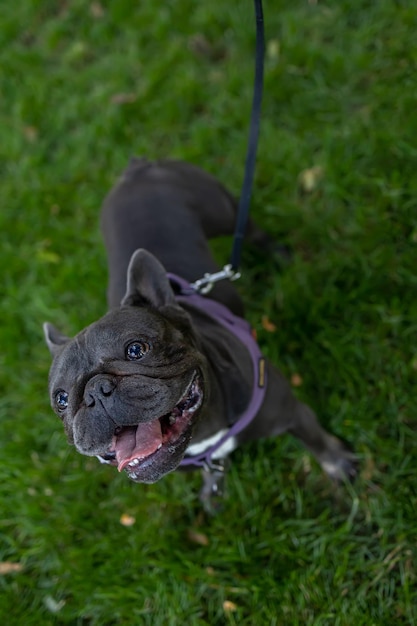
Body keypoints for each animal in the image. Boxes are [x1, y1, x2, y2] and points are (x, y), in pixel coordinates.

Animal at [44, 158, 356, 510]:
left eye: (136, 350)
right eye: (61, 399)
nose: (96, 391)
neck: (204, 429)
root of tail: (138, 168)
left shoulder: (290, 413)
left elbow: (315, 439)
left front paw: (338, 464)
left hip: (224, 211)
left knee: (252, 231)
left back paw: (281, 255)